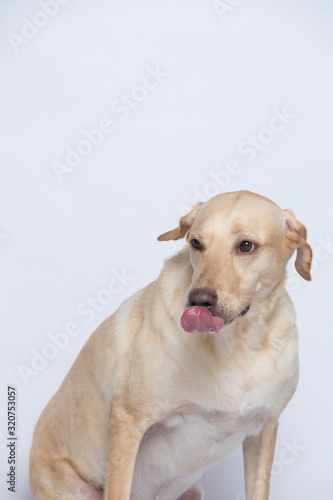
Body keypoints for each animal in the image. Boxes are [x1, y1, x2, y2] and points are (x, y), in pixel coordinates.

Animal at [29, 191, 312, 500]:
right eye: (196, 243)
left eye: (246, 246)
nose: (198, 300)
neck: (239, 341)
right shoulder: (128, 421)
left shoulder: (265, 430)